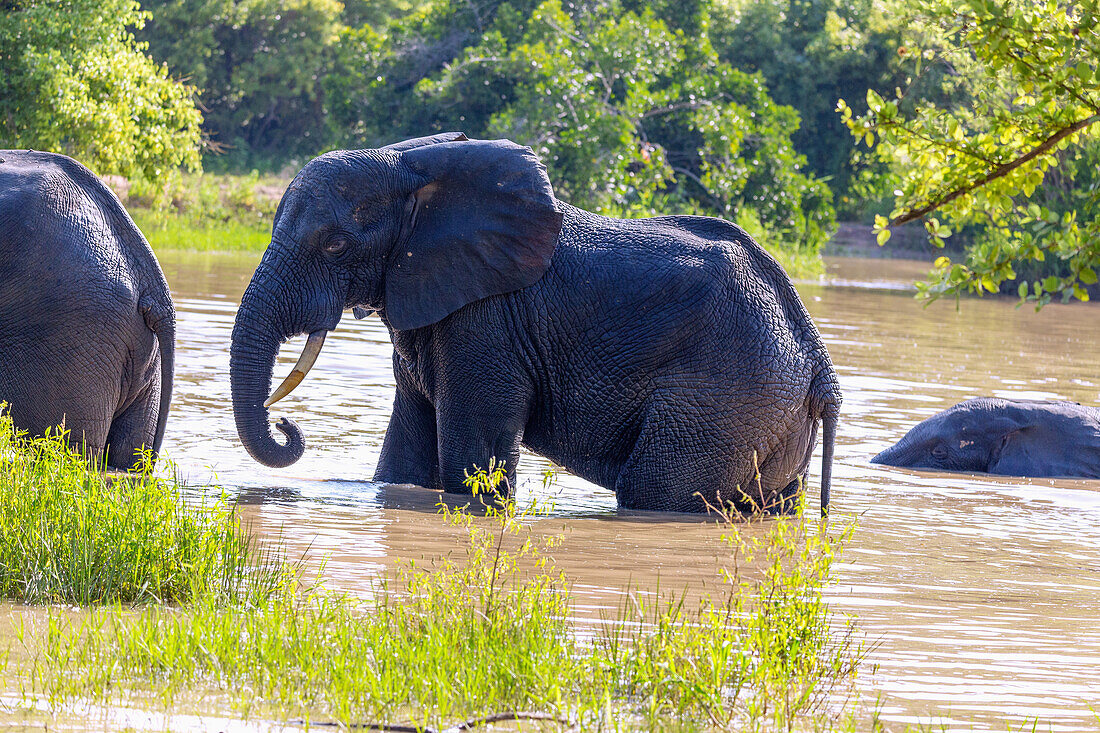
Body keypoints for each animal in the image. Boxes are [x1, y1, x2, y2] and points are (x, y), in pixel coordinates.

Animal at [229, 131, 840, 510]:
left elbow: (472, 463)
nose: (287, 426)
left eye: (334, 245)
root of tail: (820, 368)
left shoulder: (488, 322)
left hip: (722, 403)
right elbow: (404, 458)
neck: (413, 168)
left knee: (654, 490)